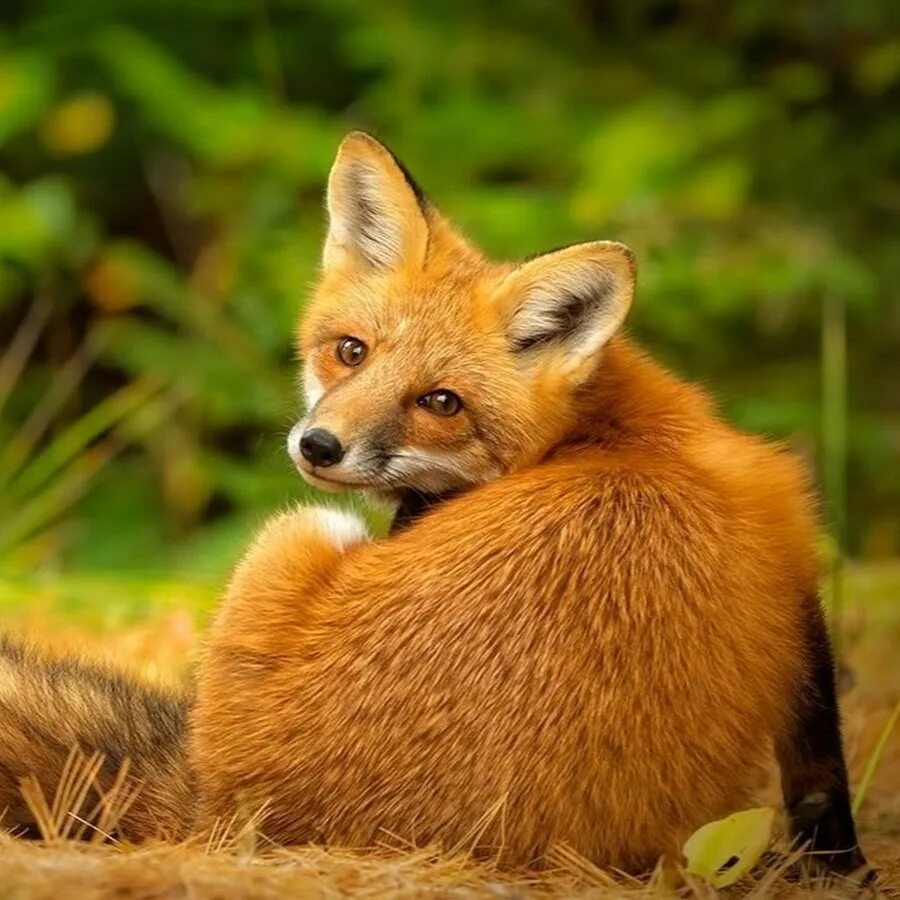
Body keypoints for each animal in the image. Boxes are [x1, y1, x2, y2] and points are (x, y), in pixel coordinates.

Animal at [3, 134, 868, 880]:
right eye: (351, 351)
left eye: (440, 401)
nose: (318, 446)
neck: (616, 432)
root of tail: (208, 809)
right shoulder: (791, 564)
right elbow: (821, 762)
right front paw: (843, 869)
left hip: (296, 534)